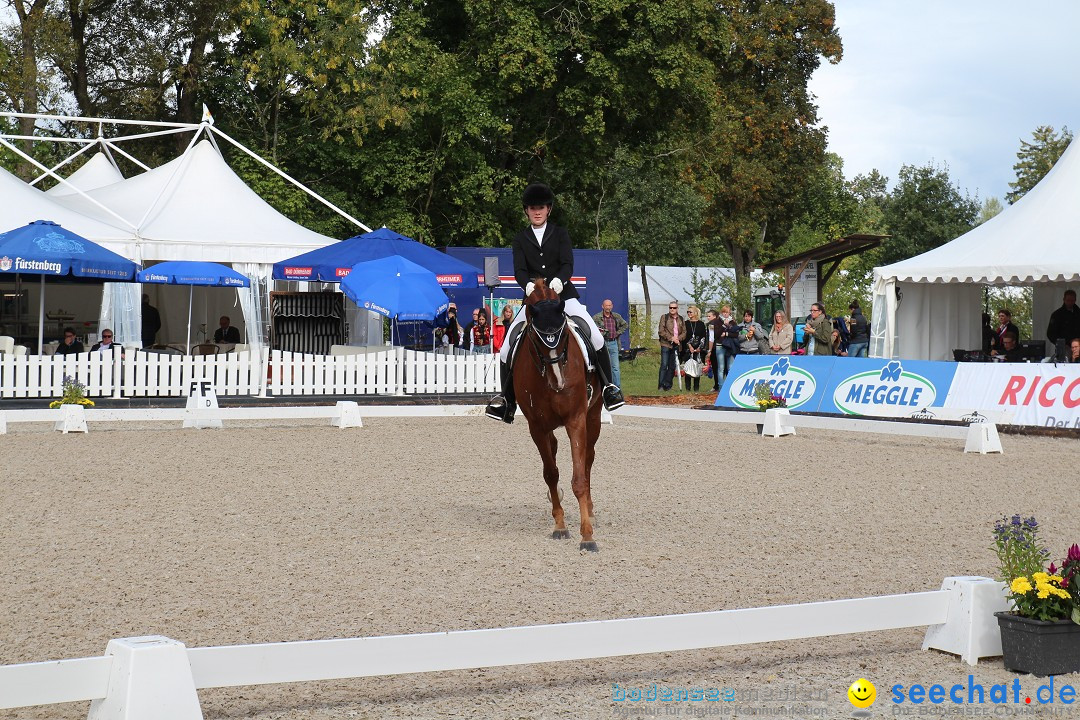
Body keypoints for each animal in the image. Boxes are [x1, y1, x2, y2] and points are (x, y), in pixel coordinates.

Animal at [516, 280, 604, 552]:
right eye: (536, 338)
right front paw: (560, 525)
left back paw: (591, 511)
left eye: (564, 335)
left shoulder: (576, 419)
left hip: (593, 416)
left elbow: (579, 478)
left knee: (588, 459)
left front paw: (587, 536)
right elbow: (551, 473)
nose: (559, 383)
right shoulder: (536, 426)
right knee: (554, 452)